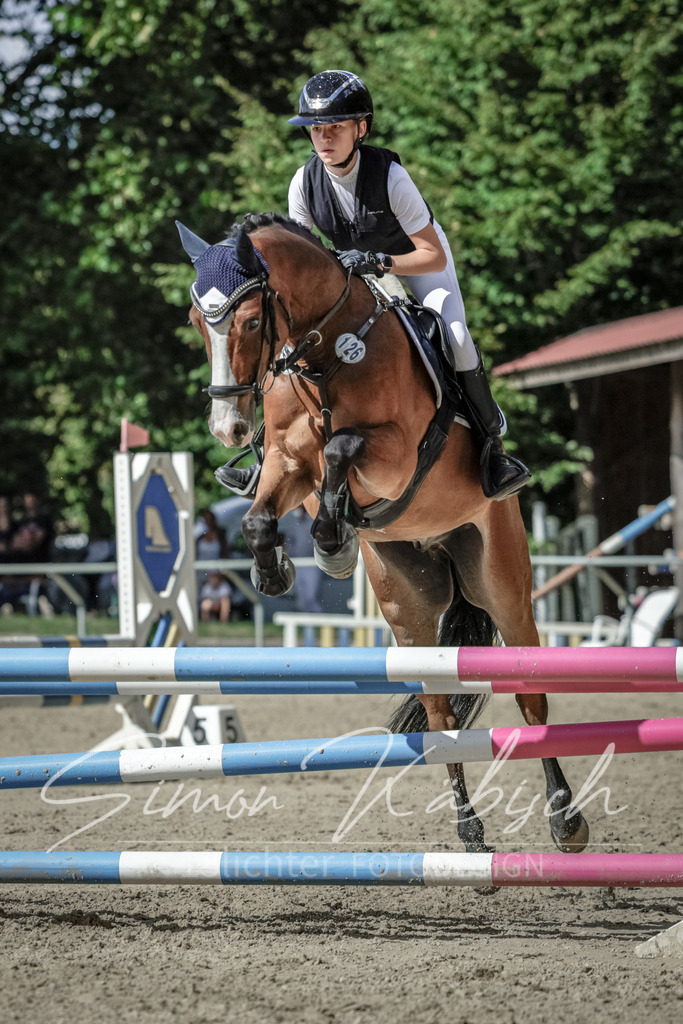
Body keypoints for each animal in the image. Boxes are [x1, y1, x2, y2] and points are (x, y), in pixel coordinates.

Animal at [177, 212, 589, 857]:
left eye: (249, 320)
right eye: (199, 322)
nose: (229, 429)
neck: (326, 353)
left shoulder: (395, 454)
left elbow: (341, 448)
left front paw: (330, 539)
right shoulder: (286, 462)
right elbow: (260, 514)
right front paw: (286, 567)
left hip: (503, 585)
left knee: (531, 698)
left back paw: (566, 821)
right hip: (408, 609)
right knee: (442, 714)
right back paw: (470, 831)